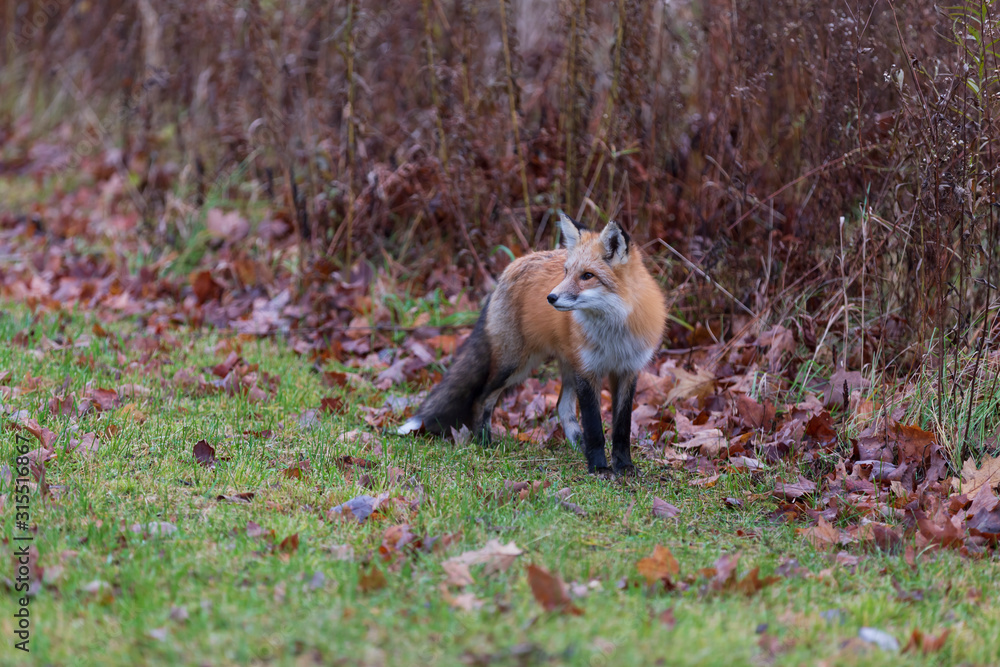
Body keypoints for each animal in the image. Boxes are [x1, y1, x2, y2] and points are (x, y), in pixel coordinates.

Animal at [398, 212, 666, 475]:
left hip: (563, 365)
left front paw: (624, 466)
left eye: (587, 276)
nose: (551, 297)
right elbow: (594, 428)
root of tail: (511, 267)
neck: (614, 334)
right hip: (516, 365)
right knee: (482, 398)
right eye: (566, 272)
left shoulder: (627, 371)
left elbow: (621, 428)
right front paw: (599, 468)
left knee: (562, 407)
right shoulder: (588, 371)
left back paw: (577, 446)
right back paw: (484, 442)